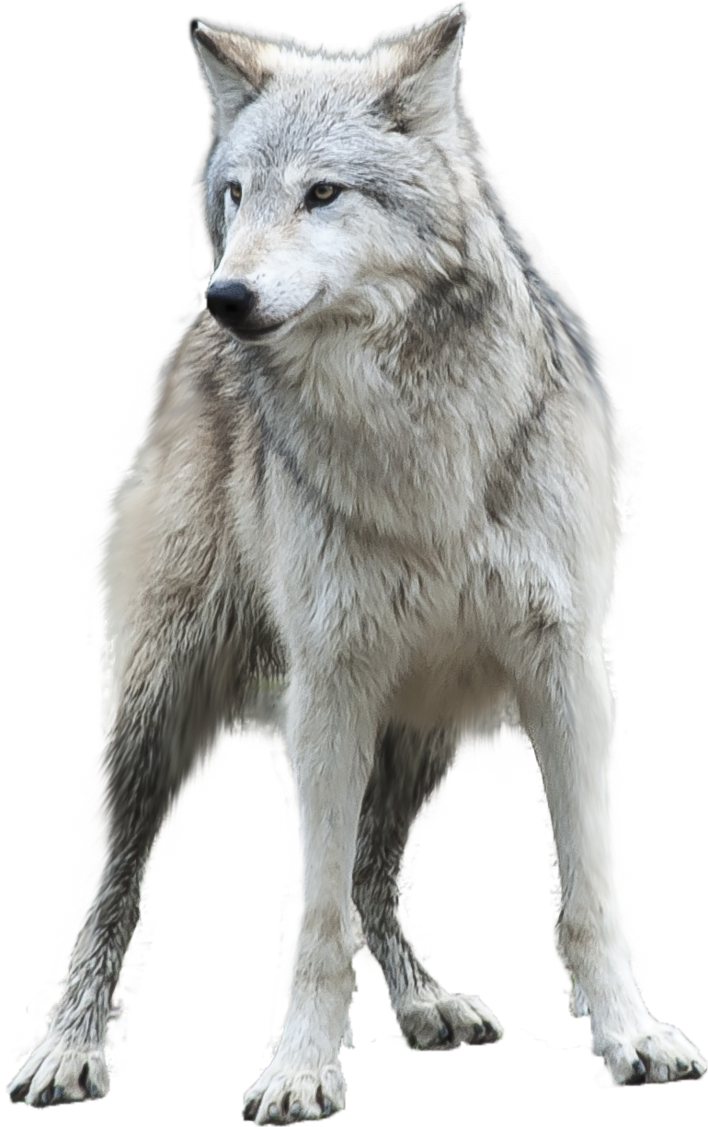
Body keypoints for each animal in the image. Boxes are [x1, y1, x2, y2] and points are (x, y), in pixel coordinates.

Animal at [8, 7, 706, 1119]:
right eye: (238, 195)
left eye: (324, 193)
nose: (229, 294)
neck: (419, 448)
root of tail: (186, 352)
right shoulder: (328, 684)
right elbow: (317, 921)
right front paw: (300, 1069)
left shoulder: (565, 671)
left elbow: (590, 894)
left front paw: (630, 1037)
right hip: (161, 704)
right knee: (114, 881)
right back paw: (69, 1050)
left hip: (420, 729)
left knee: (380, 872)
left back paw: (425, 1004)